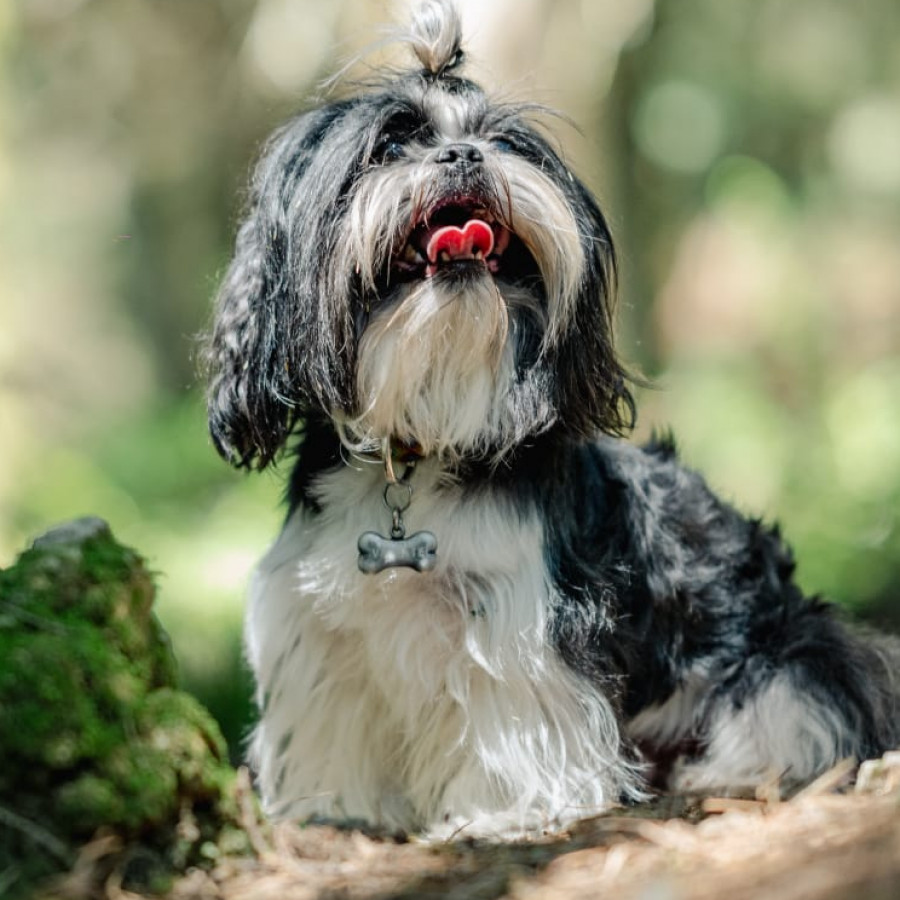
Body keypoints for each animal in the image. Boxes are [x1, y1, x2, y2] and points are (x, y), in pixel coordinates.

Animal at [206, 3, 900, 840]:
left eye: (504, 144)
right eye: (393, 145)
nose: (466, 155)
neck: (427, 435)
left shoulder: (520, 621)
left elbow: (508, 713)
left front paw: (501, 811)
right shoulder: (319, 627)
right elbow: (334, 721)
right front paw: (332, 808)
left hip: (796, 650)